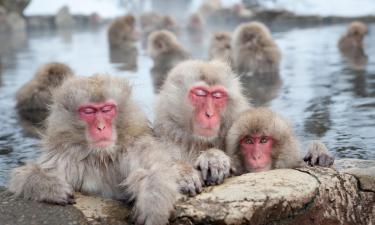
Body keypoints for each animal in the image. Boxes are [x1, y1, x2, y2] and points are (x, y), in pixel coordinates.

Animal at [8, 75, 179, 225]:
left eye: (107, 109)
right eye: (88, 111)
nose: (101, 127)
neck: (102, 157)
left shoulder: (136, 147)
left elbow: (154, 170)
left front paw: (153, 204)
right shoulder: (65, 156)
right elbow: (22, 176)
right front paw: (51, 187)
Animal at [153, 59, 250, 195]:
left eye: (217, 96)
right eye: (200, 94)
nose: (209, 114)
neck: (199, 142)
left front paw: (214, 157)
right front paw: (183, 172)